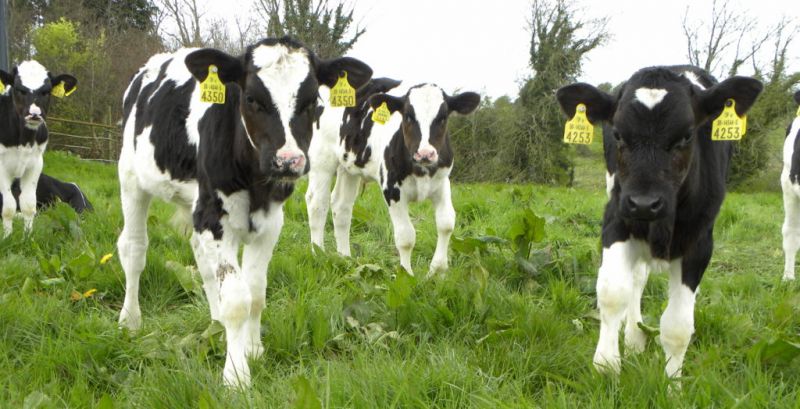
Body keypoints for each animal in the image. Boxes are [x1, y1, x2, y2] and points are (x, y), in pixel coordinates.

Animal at [0, 62, 77, 236]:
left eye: (46, 91)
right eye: (19, 89)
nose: (34, 114)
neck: (24, 140)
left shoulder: (35, 163)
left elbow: (28, 205)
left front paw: (27, 237)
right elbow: (8, 207)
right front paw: (7, 237)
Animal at [116, 37, 372, 387]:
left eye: (312, 101)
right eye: (251, 98)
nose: (288, 161)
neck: (255, 182)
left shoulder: (269, 222)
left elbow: (255, 292)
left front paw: (252, 349)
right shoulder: (214, 216)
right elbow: (238, 299)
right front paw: (236, 375)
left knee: (203, 261)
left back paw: (215, 323)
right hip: (131, 179)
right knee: (133, 249)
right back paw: (130, 320)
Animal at [305, 82, 480, 275]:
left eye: (442, 118)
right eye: (408, 116)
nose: (425, 153)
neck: (421, 171)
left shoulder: (442, 183)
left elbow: (446, 223)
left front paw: (437, 272)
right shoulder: (392, 189)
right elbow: (406, 236)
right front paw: (406, 274)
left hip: (348, 166)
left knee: (341, 206)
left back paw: (345, 258)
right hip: (321, 159)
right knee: (317, 204)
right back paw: (318, 255)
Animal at [556, 66, 762, 379]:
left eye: (686, 136)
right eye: (617, 134)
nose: (644, 203)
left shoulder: (700, 244)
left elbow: (678, 326)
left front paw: (672, 384)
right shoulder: (615, 219)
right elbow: (613, 292)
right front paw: (606, 367)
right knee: (636, 280)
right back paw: (633, 339)